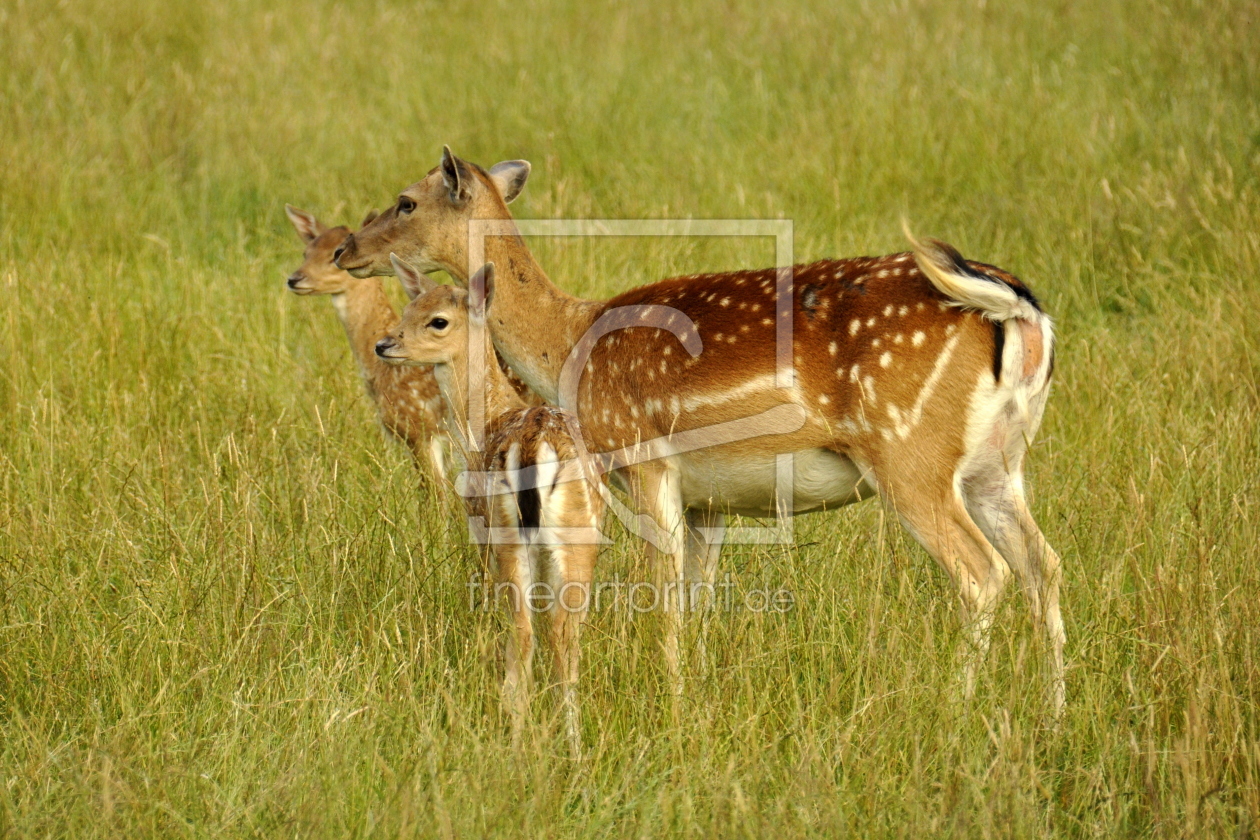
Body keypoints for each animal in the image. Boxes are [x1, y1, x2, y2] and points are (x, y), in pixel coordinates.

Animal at [372, 256, 604, 755]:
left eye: (437, 320)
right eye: (408, 307)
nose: (384, 344)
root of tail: (534, 445)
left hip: (514, 532)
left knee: (531, 630)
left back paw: (527, 739)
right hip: (563, 534)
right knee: (556, 633)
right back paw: (561, 744)